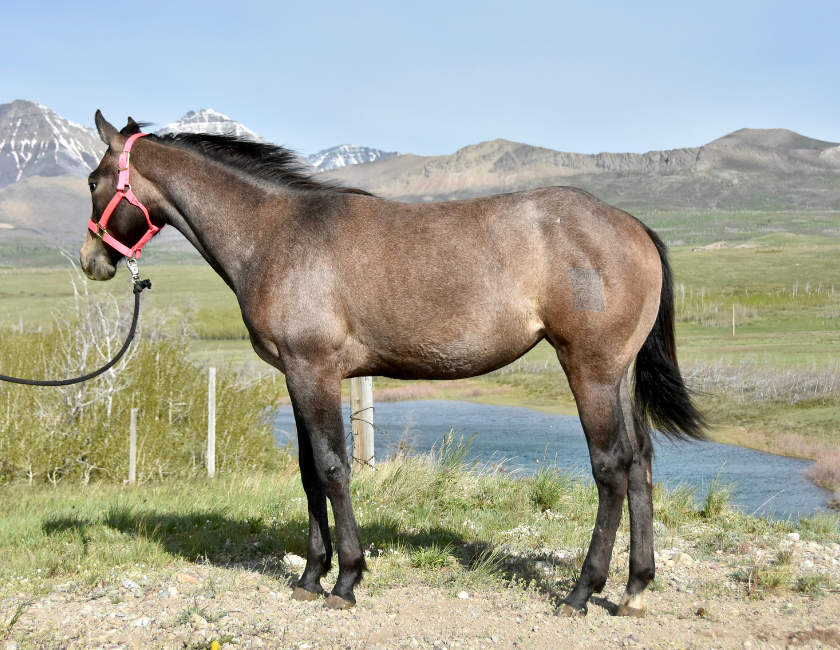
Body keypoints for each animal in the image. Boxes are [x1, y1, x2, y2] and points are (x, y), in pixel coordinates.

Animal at [80, 112, 704, 616]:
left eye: (91, 181)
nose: (91, 261)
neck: (274, 234)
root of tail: (632, 226)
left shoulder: (315, 371)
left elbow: (333, 468)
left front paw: (346, 580)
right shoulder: (295, 377)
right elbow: (308, 473)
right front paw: (311, 576)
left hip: (590, 370)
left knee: (612, 468)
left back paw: (581, 591)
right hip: (616, 374)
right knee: (641, 463)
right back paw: (634, 588)